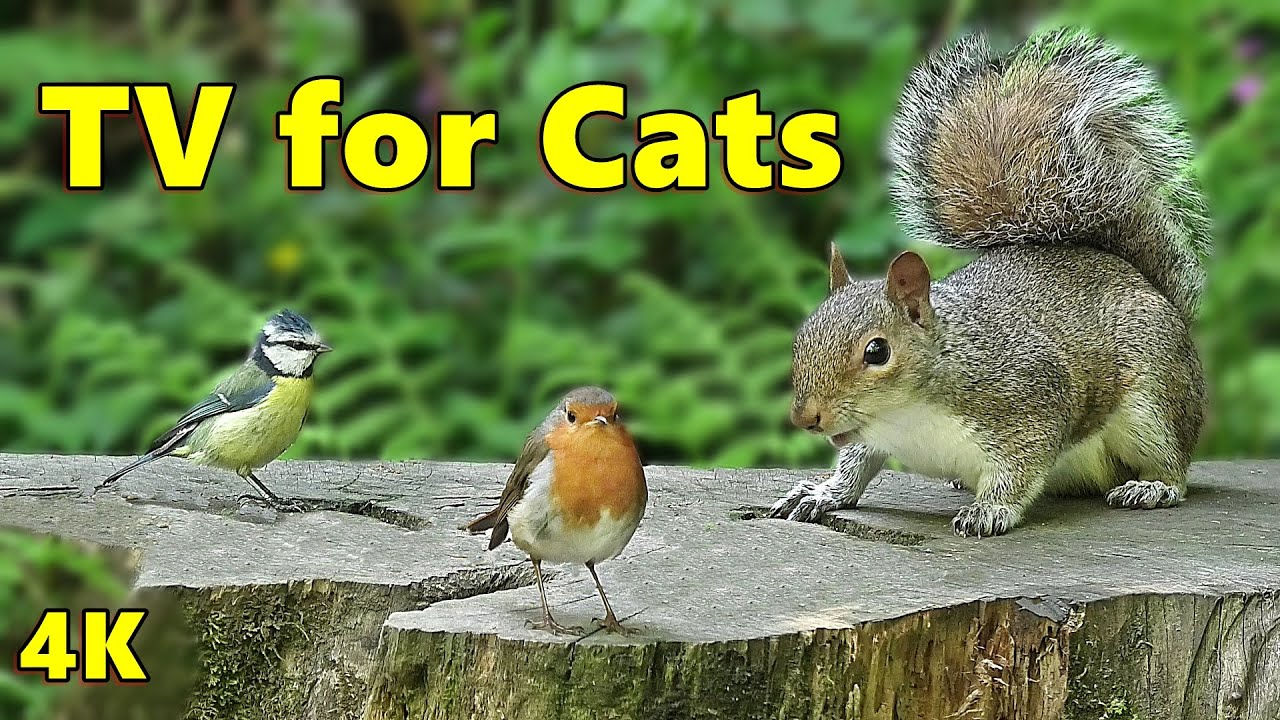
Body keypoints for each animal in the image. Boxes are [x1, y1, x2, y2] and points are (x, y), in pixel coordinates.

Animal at [768, 28, 1211, 537]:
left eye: (877, 352)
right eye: (802, 338)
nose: (806, 417)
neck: (906, 414)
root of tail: (1157, 292)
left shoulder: (1030, 405)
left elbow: (1018, 470)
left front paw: (990, 511)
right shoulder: (868, 437)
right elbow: (854, 467)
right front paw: (822, 493)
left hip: (1154, 401)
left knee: (1172, 462)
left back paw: (1153, 487)